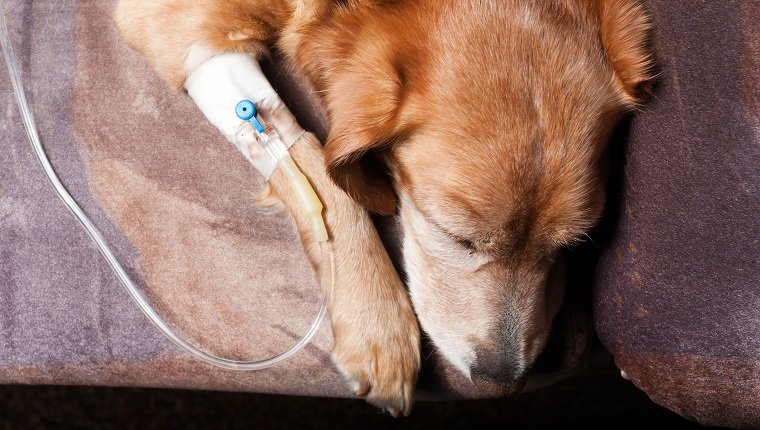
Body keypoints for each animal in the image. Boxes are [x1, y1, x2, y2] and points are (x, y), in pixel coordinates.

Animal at [116, 0, 652, 416]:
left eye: (573, 243)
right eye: (455, 236)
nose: (504, 381)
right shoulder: (184, 31)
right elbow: (314, 158)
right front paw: (377, 323)